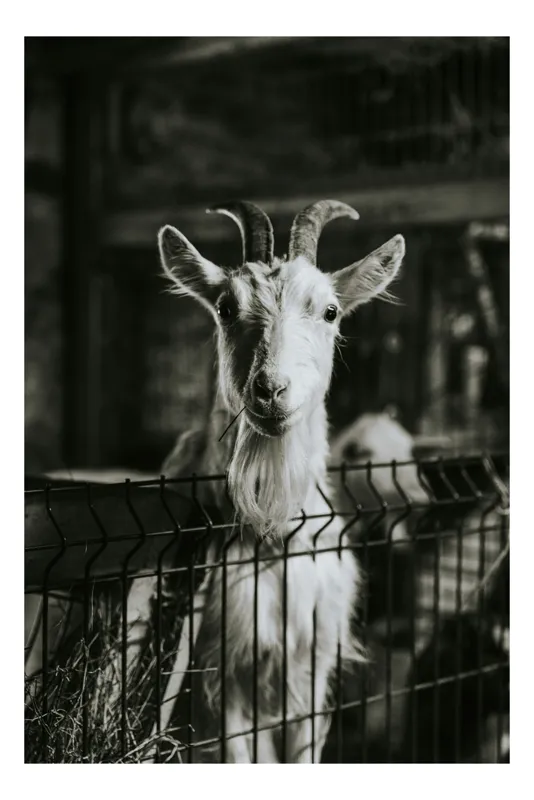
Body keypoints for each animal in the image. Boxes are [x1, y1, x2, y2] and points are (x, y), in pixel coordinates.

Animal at [154, 200, 405, 763]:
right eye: (226, 307)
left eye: (330, 311)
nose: (270, 390)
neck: (273, 536)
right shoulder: (220, 675)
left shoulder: (312, 666)